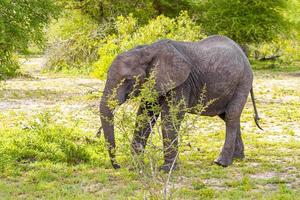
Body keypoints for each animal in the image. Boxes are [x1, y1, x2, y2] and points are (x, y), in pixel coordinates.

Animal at [99, 34, 262, 172]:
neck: (147, 50)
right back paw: (237, 158)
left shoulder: (181, 82)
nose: (118, 166)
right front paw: (135, 167)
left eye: (128, 80)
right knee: (227, 116)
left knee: (231, 115)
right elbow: (145, 115)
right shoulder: (154, 82)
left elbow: (170, 116)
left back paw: (221, 163)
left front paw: (167, 170)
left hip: (243, 80)